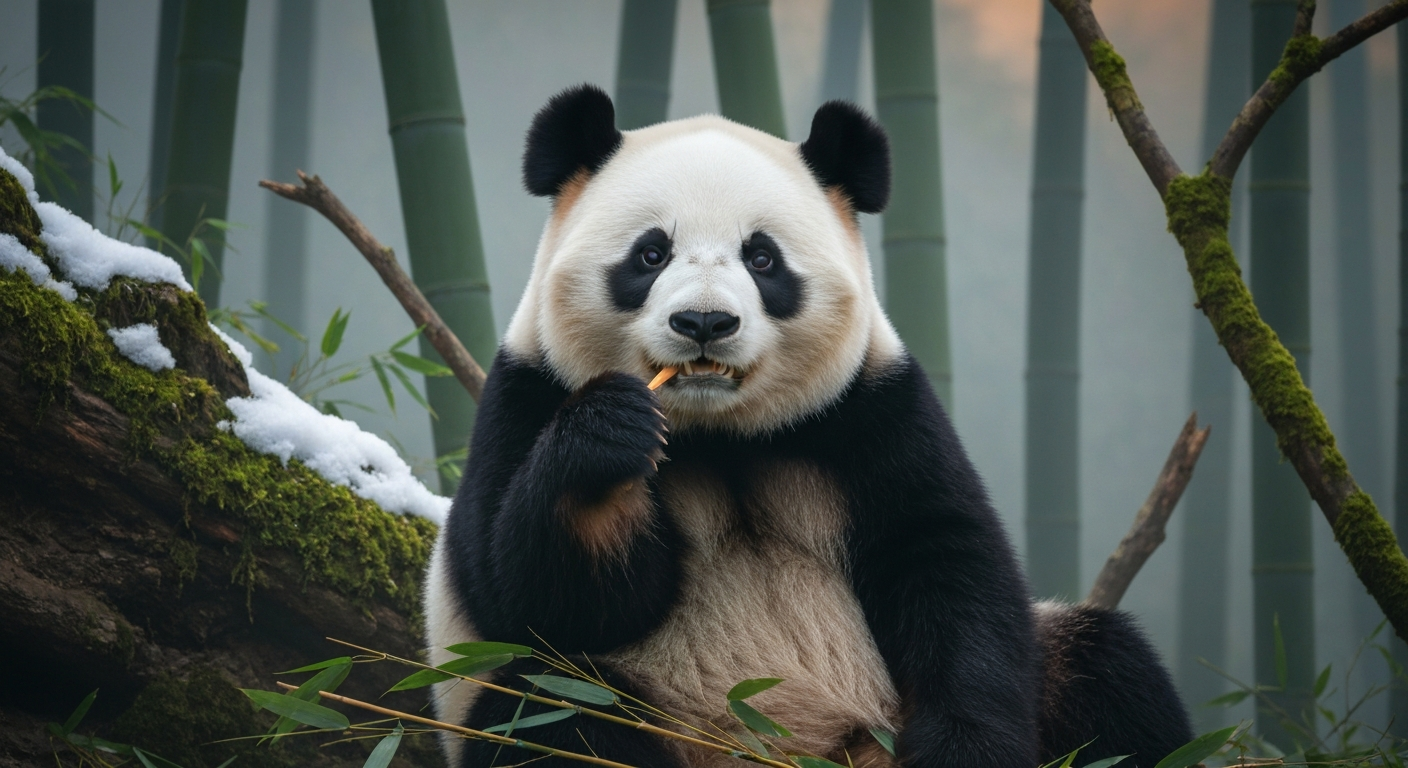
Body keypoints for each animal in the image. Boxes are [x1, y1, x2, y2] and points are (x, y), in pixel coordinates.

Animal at [423, 84, 1193, 768]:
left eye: (762, 258)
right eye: (650, 254)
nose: (704, 322)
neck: (719, 435)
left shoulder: (874, 409)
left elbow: (947, 565)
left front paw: (966, 747)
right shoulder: (526, 393)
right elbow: (532, 595)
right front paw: (609, 438)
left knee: (1107, 674)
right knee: (545, 715)